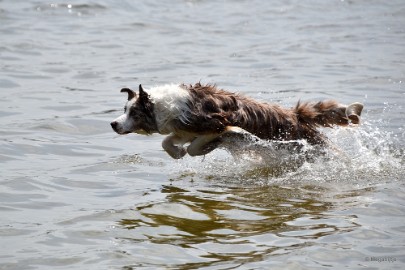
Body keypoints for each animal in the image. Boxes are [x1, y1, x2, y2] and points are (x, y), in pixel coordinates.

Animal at [110, 82, 362, 158]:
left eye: (134, 113)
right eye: (124, 109)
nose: (113, 124)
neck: (161, 106)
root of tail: (295, 115)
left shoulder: (216, 123)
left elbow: (195, 147)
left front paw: (207, 148)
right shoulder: (184, 129)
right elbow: (167, 142)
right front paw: (177, 152)